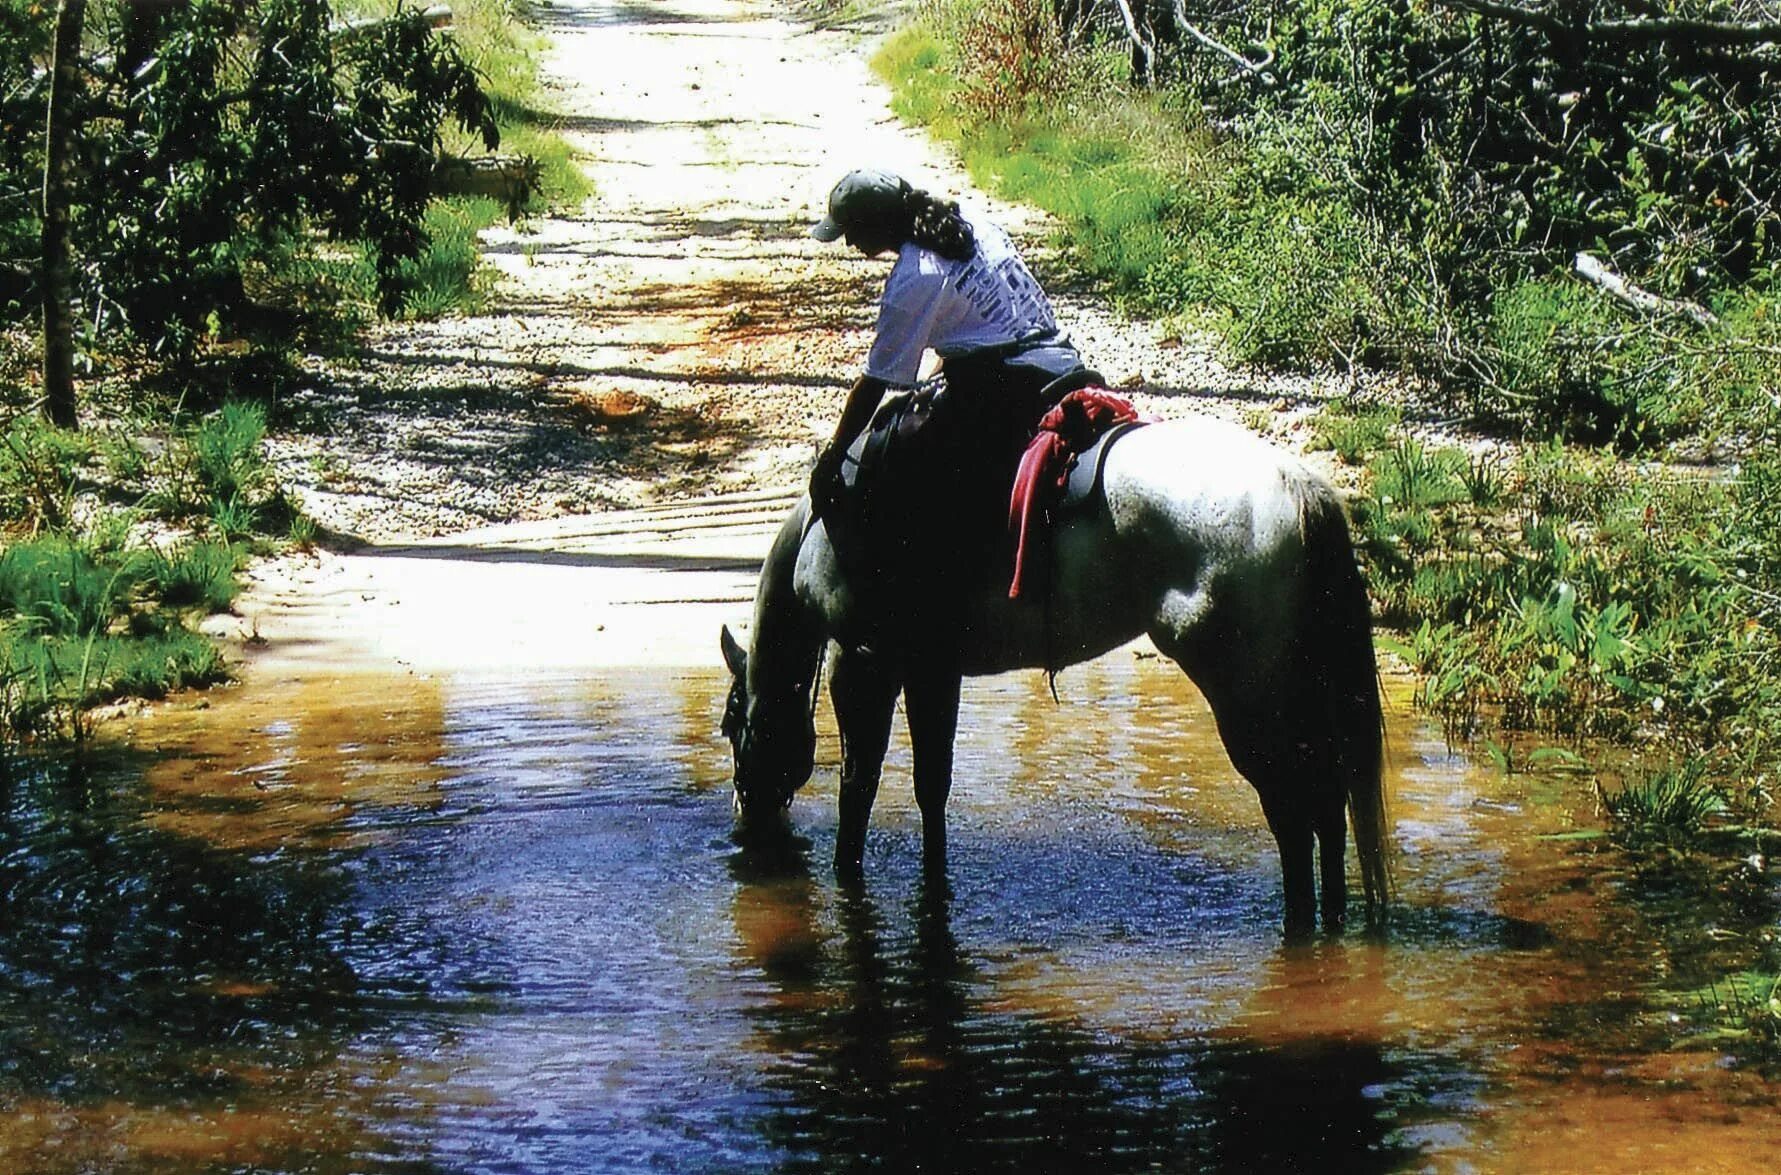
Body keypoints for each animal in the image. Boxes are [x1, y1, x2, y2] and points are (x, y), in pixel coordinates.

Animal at [723, 414, 1389, 932]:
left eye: (731, 726)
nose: (746, 815)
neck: (825, 529)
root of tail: (1296, 484)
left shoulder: (863, 663)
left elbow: (857, 787)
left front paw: (846, 875)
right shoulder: (933, 670)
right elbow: (931, 787)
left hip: (1250, 700)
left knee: (1294, 810)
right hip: (1295, 690)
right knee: (1328, 804)